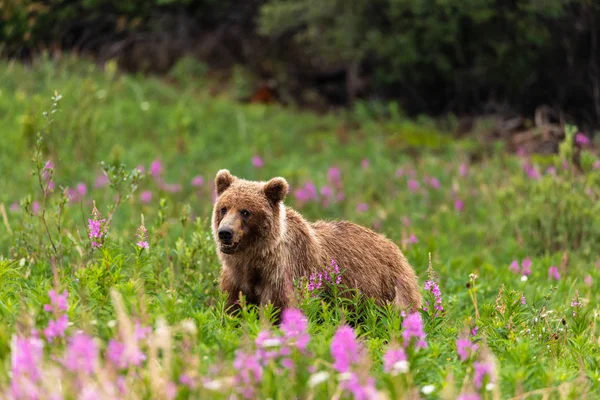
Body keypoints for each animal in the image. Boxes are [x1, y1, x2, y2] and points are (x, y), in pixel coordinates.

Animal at [211, 169, 422, 316]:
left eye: (245, 212)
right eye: (224, 208)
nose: (225, 233)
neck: (255, 259)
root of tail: (396, 247)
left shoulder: (283, 275)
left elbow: (278, 309)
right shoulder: (236, 278)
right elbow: (233, 310)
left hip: (388, 289)